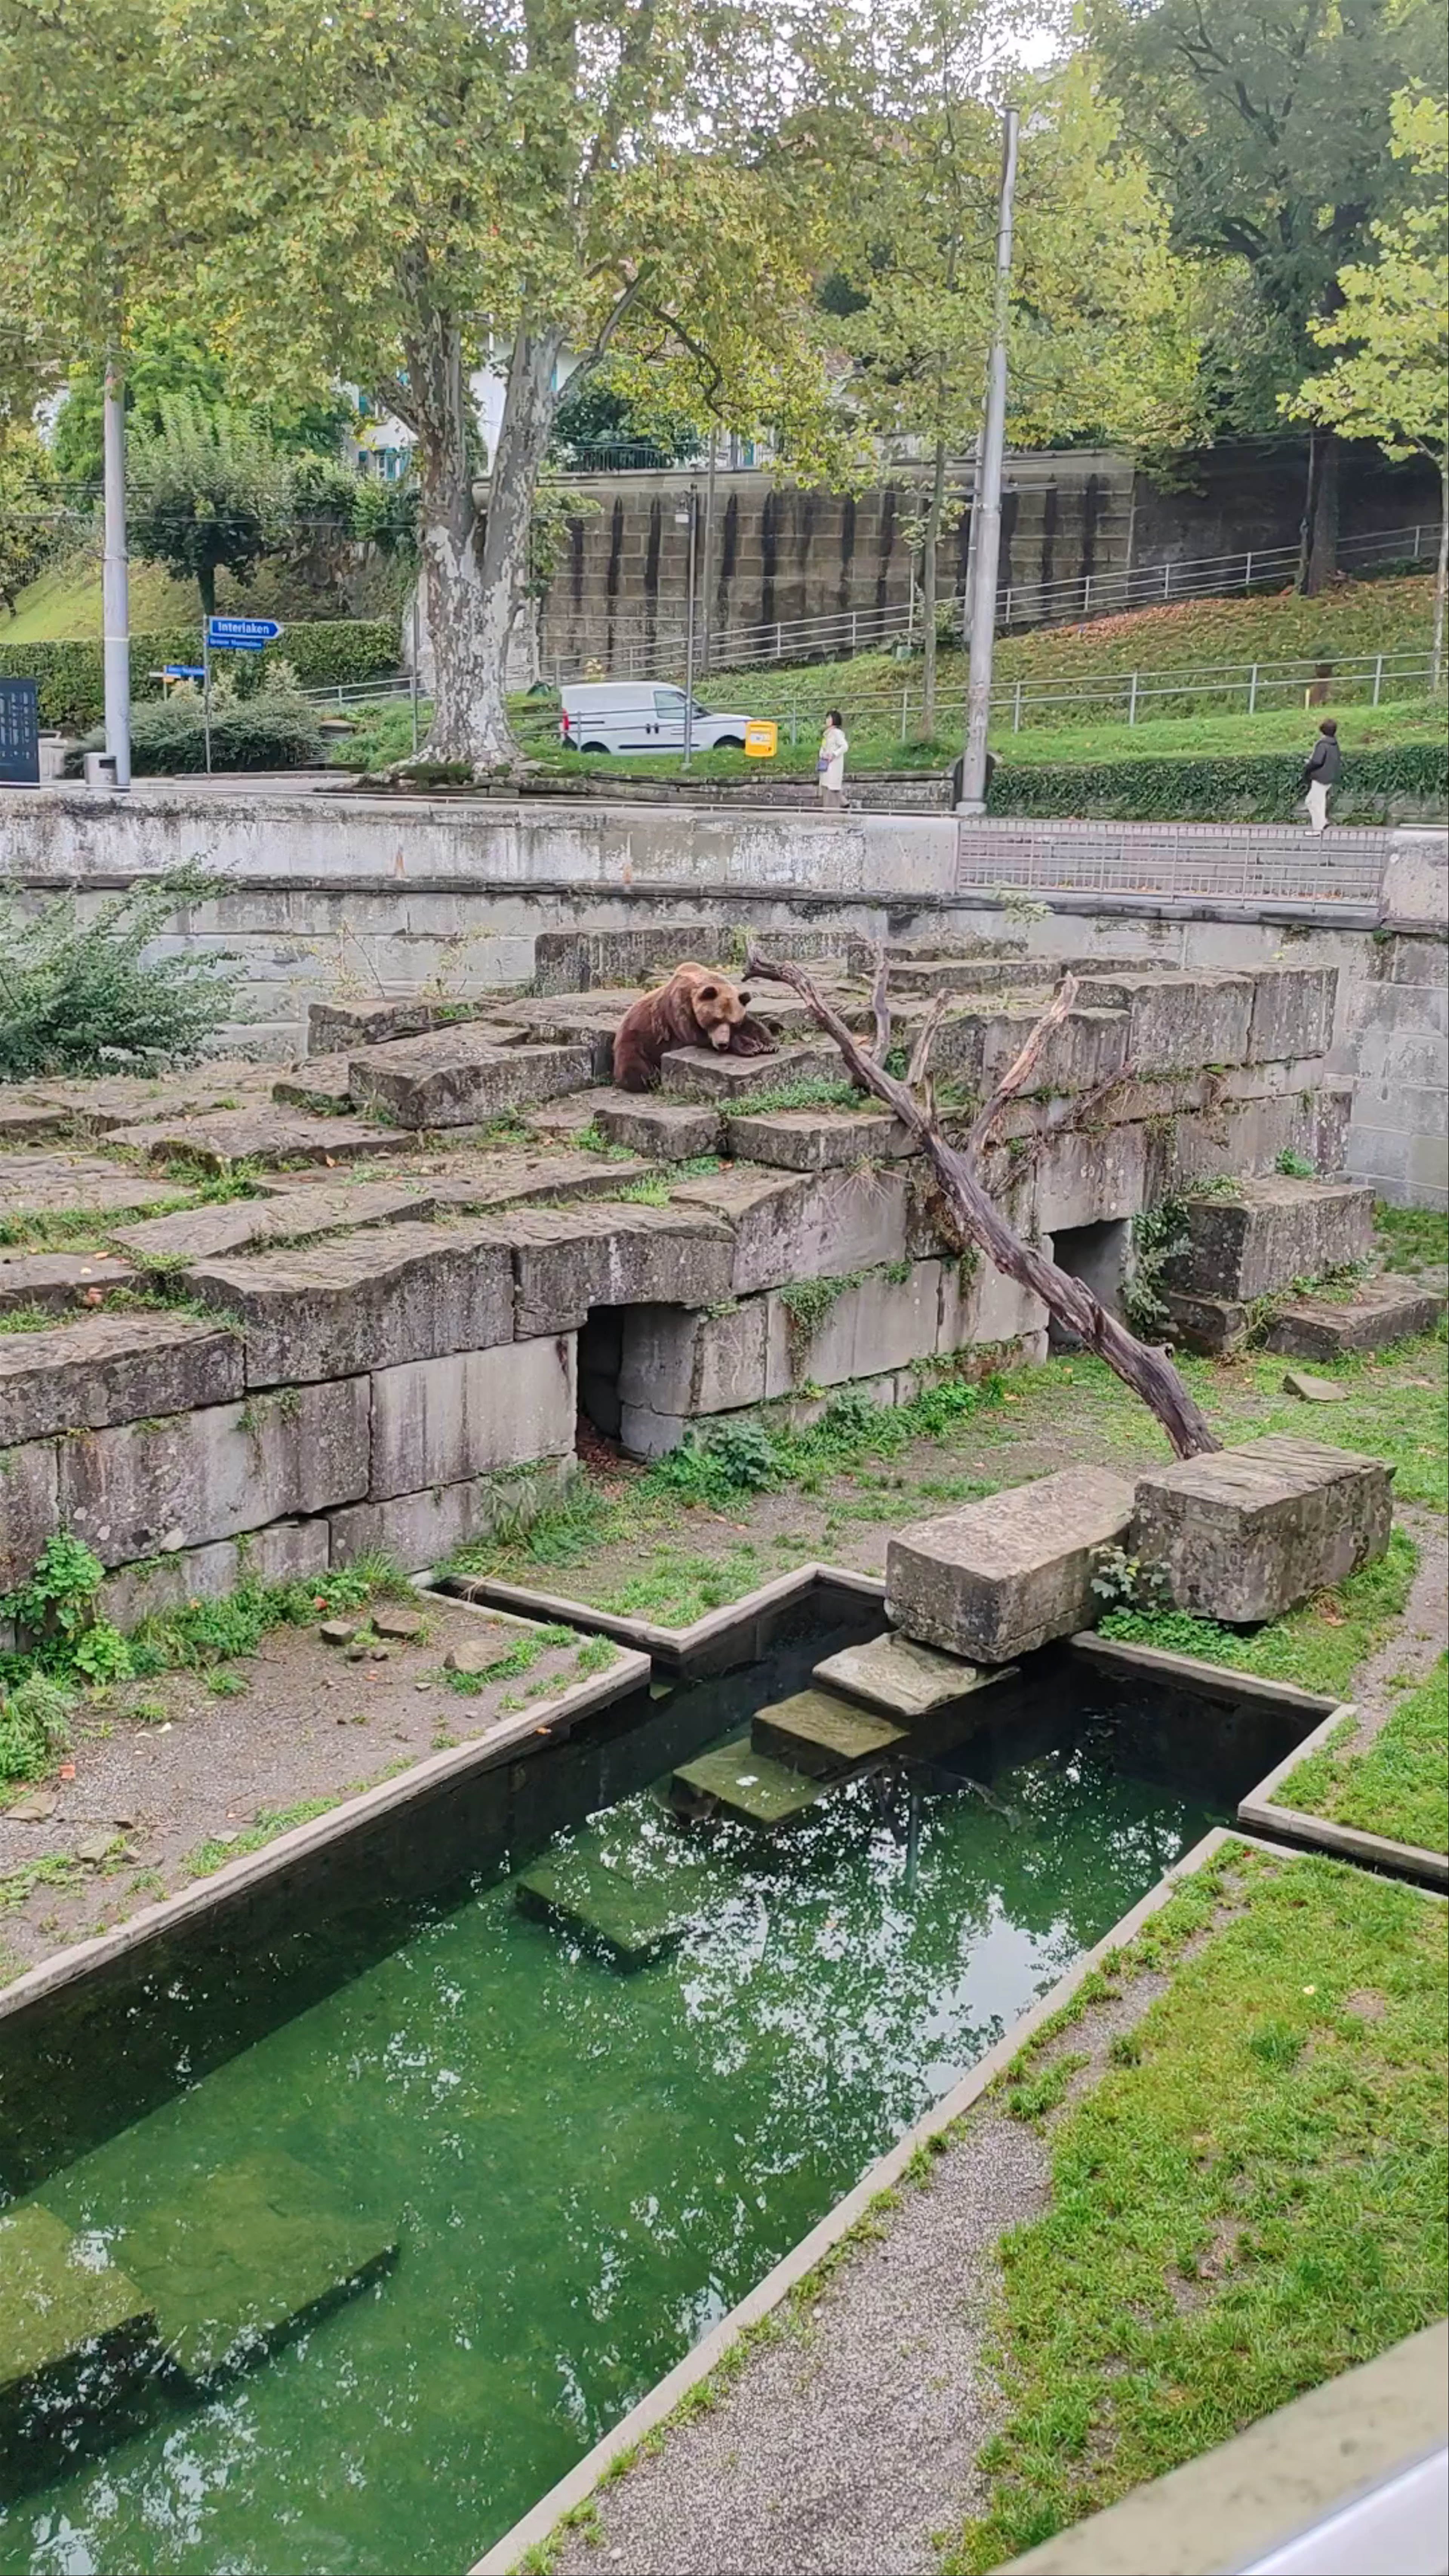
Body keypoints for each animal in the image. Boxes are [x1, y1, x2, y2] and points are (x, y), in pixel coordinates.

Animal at [612, 962, 776, 1093]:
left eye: (733, 1023)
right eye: (716, 1020)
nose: (723, 1044)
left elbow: (751, 1023)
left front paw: (768, 1044)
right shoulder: (679, 1012)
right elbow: (696, 1038)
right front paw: (750, 1046)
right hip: (637, 1040)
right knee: (637, 1069)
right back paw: (650, 1080)